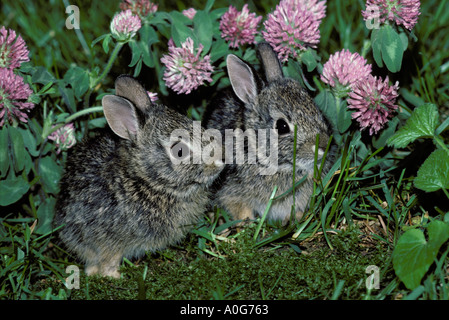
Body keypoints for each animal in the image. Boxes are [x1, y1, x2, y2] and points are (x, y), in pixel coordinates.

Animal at [55, 75, 223, 278]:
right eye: (180, 151)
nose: (220, 160)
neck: (145, 181)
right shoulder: (107, 240)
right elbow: (106, 261)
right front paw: (115, 277)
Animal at [203, 43, 332, 225]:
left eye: (318, 111)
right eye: (282, 126)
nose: (323, 146)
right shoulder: (231, 193)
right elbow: (240, 210)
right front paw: (246, 224)